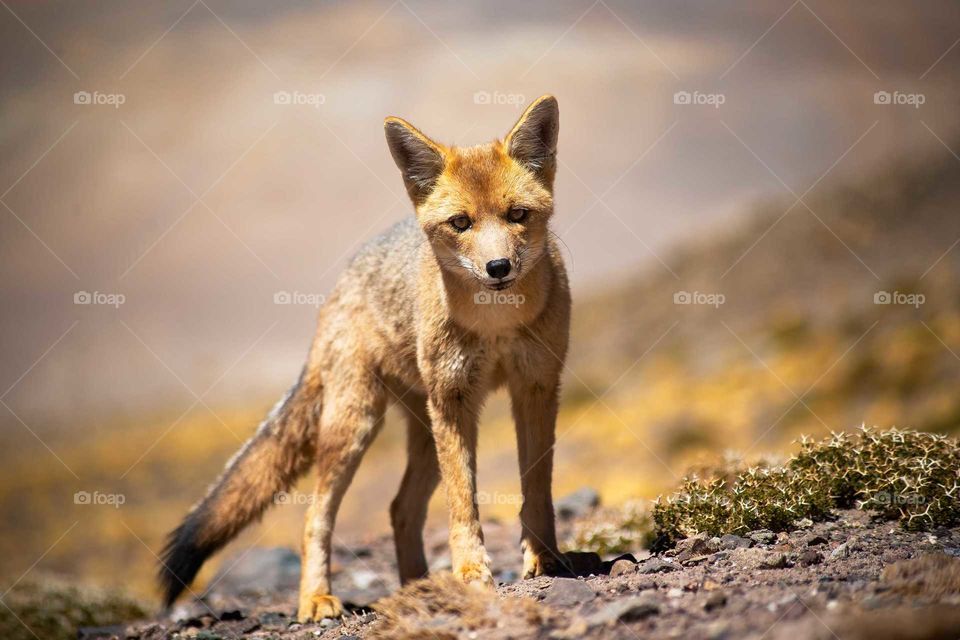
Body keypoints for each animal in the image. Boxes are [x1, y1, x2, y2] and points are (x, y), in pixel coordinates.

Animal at [159, 95, 583, 622]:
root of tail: (342, 282)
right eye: (461, 223)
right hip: (358, 426)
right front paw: (470, 573)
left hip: (423, 432)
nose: (498, 267)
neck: (496, 324)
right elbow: (462, 501)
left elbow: (538, 485)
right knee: (315, 517)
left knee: (401, 508)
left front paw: (543, 556)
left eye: (518, 214)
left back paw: (417, 585)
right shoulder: (455, 398)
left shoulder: (537, 387)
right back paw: (316, 598)